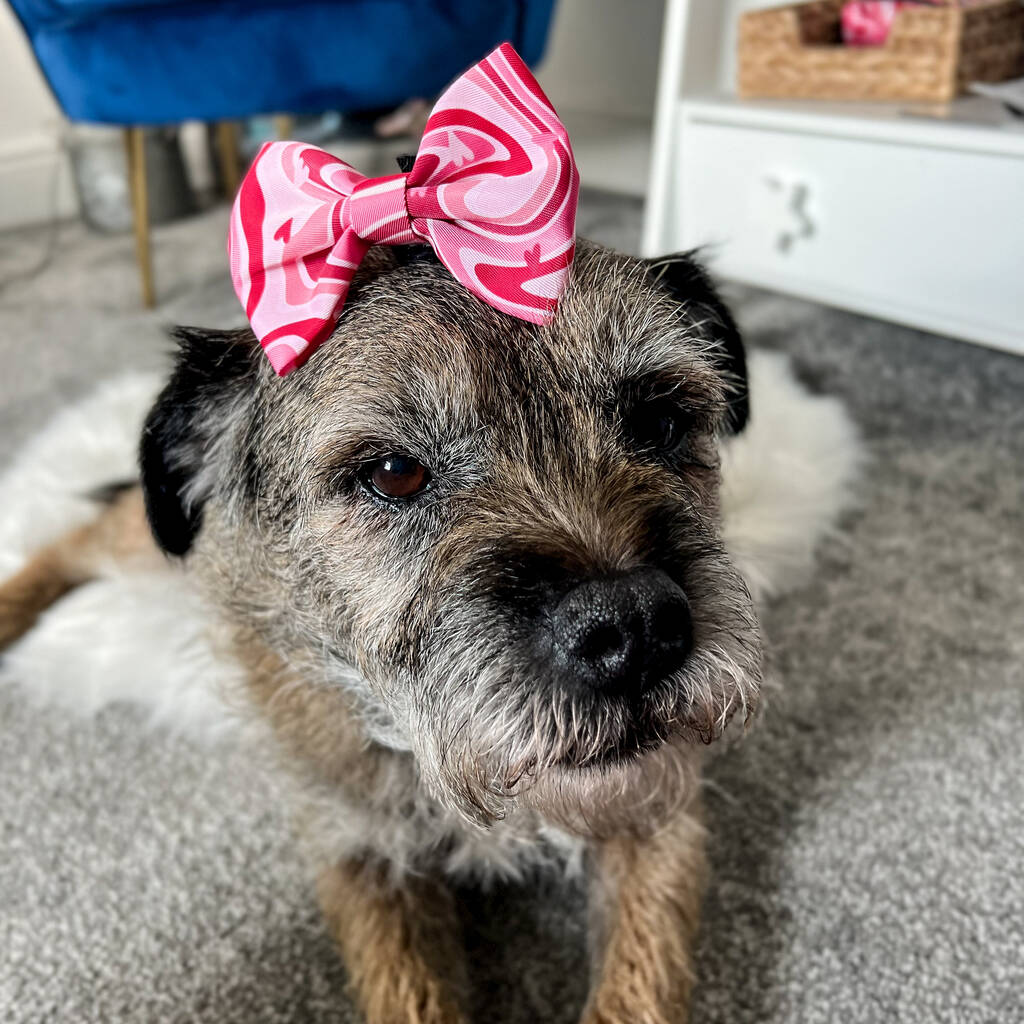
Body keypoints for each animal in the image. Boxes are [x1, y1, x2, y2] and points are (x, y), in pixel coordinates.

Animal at [0, 241, 761, 1024]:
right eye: (394, 472)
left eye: (660, 422)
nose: (634, 625)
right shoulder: (359, 852)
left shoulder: (661, 811)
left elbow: (639, 986)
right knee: (79, 538)